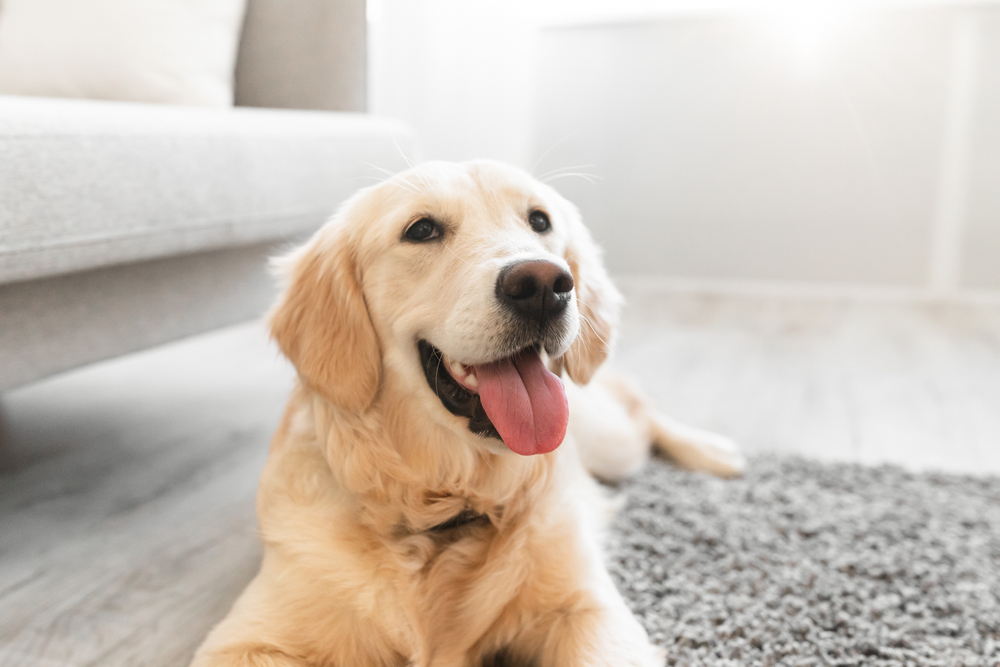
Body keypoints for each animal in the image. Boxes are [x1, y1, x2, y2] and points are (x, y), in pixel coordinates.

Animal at [191, 159, 744, 664]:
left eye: (539, 220)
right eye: (421, 229)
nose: (545, 284)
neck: (449, 502)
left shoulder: (588, 610)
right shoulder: (251, 636)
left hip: (610, 441)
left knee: (642, 411)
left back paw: (714, 450)